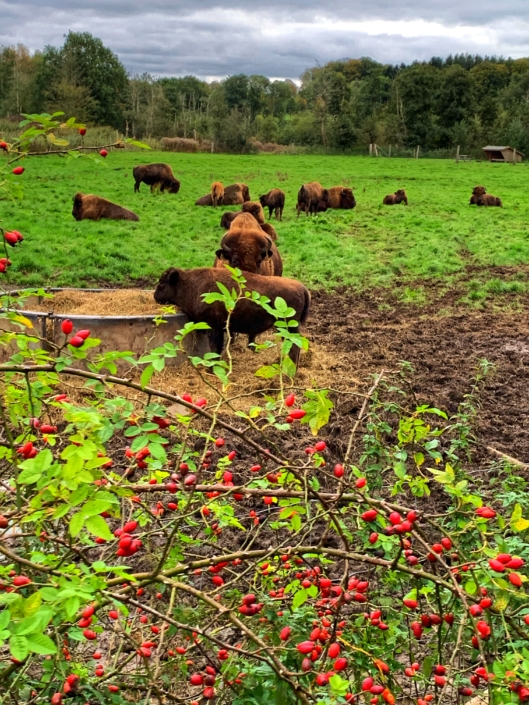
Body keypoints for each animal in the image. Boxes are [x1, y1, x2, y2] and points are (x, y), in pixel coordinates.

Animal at [154, 267, 310, 367]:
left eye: (162, 284)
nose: (155, 297)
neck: (191, 284)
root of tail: (302, 288)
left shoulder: (215, 328)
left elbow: (215, 348)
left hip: (288, 327)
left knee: (294, 347)